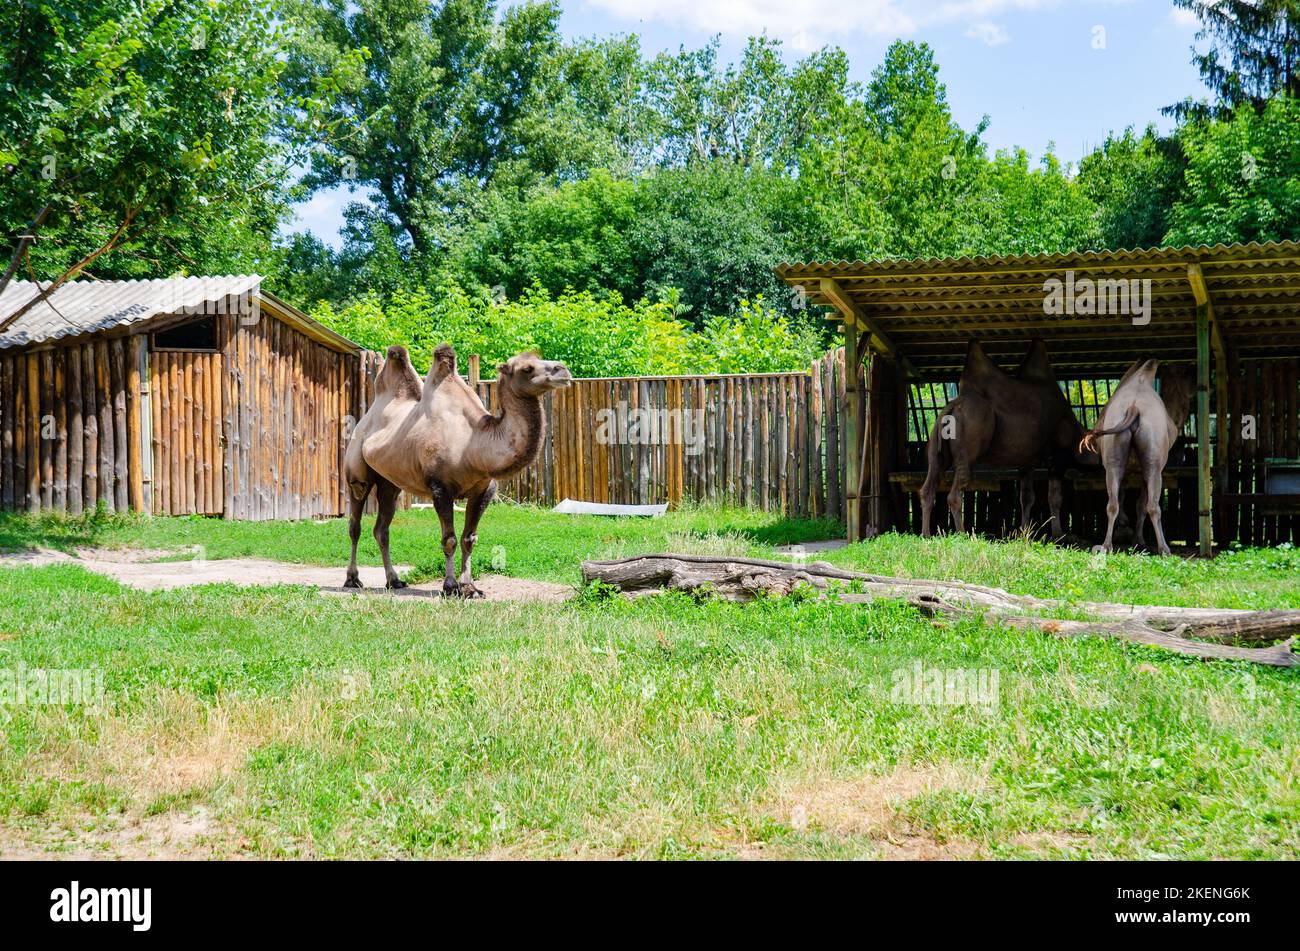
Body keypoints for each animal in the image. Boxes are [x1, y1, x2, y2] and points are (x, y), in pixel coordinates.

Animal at [343, 342, 572, 595]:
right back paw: (352, 579)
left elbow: (469, 539)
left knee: (382, 529)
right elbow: (450, 539)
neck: (473, 443)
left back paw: (394, 580)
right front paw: (450, 586)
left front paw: (469, 587)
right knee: (355, 524)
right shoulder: (440, 488)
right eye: (527, 368)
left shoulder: (484, 489)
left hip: (389, 483)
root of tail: (366, 418)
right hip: (357, 473)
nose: (563, 370)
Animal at [920, 340, 1092, 535]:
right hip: (967, 445)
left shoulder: (1027, 460)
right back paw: (963, 534)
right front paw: (1058, 534)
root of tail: (952, 408)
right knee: (955, 493)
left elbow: (1027, 497)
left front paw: (1024, 533)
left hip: (936, 447)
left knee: (927, 489)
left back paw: (926, 534)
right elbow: (1054, 497)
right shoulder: (1056, 456)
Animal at [1081, 358, 1190, 553]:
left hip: (1114, 458)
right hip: (1153, 462)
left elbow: (1127, 499)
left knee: (1113, 502)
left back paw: (1105, 546)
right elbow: (1139, 504)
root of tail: (1133, 408)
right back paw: (1164, 549)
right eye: (1188, 373)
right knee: (1152, 504)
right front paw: (1138, 540)